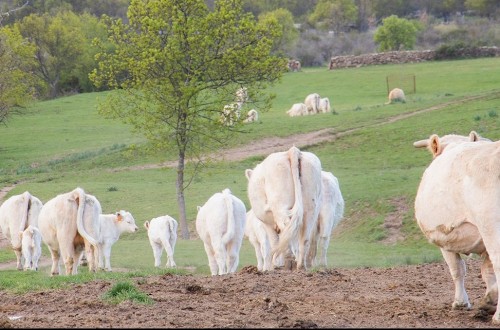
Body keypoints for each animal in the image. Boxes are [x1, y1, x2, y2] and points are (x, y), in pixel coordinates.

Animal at [412, 131, 500, 322]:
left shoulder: (444, 237)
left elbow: (457, 269)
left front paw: (460, 302)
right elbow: (487, 272)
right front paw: (489, 298)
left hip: (491, 227)